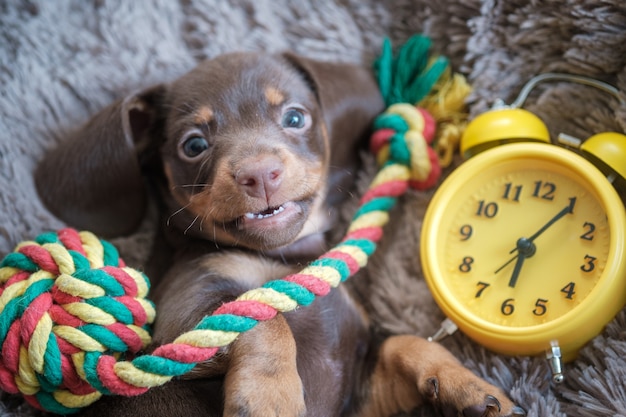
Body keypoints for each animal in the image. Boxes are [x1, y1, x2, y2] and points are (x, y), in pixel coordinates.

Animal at [34, 52, 520, 416]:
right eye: (194, 145)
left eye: (295, 118)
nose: (259, 174)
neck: (283, 259)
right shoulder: (180, 321)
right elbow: (262, 319)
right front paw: (269, 399)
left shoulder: (359, 392)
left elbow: (405, 342)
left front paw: (466, 386)